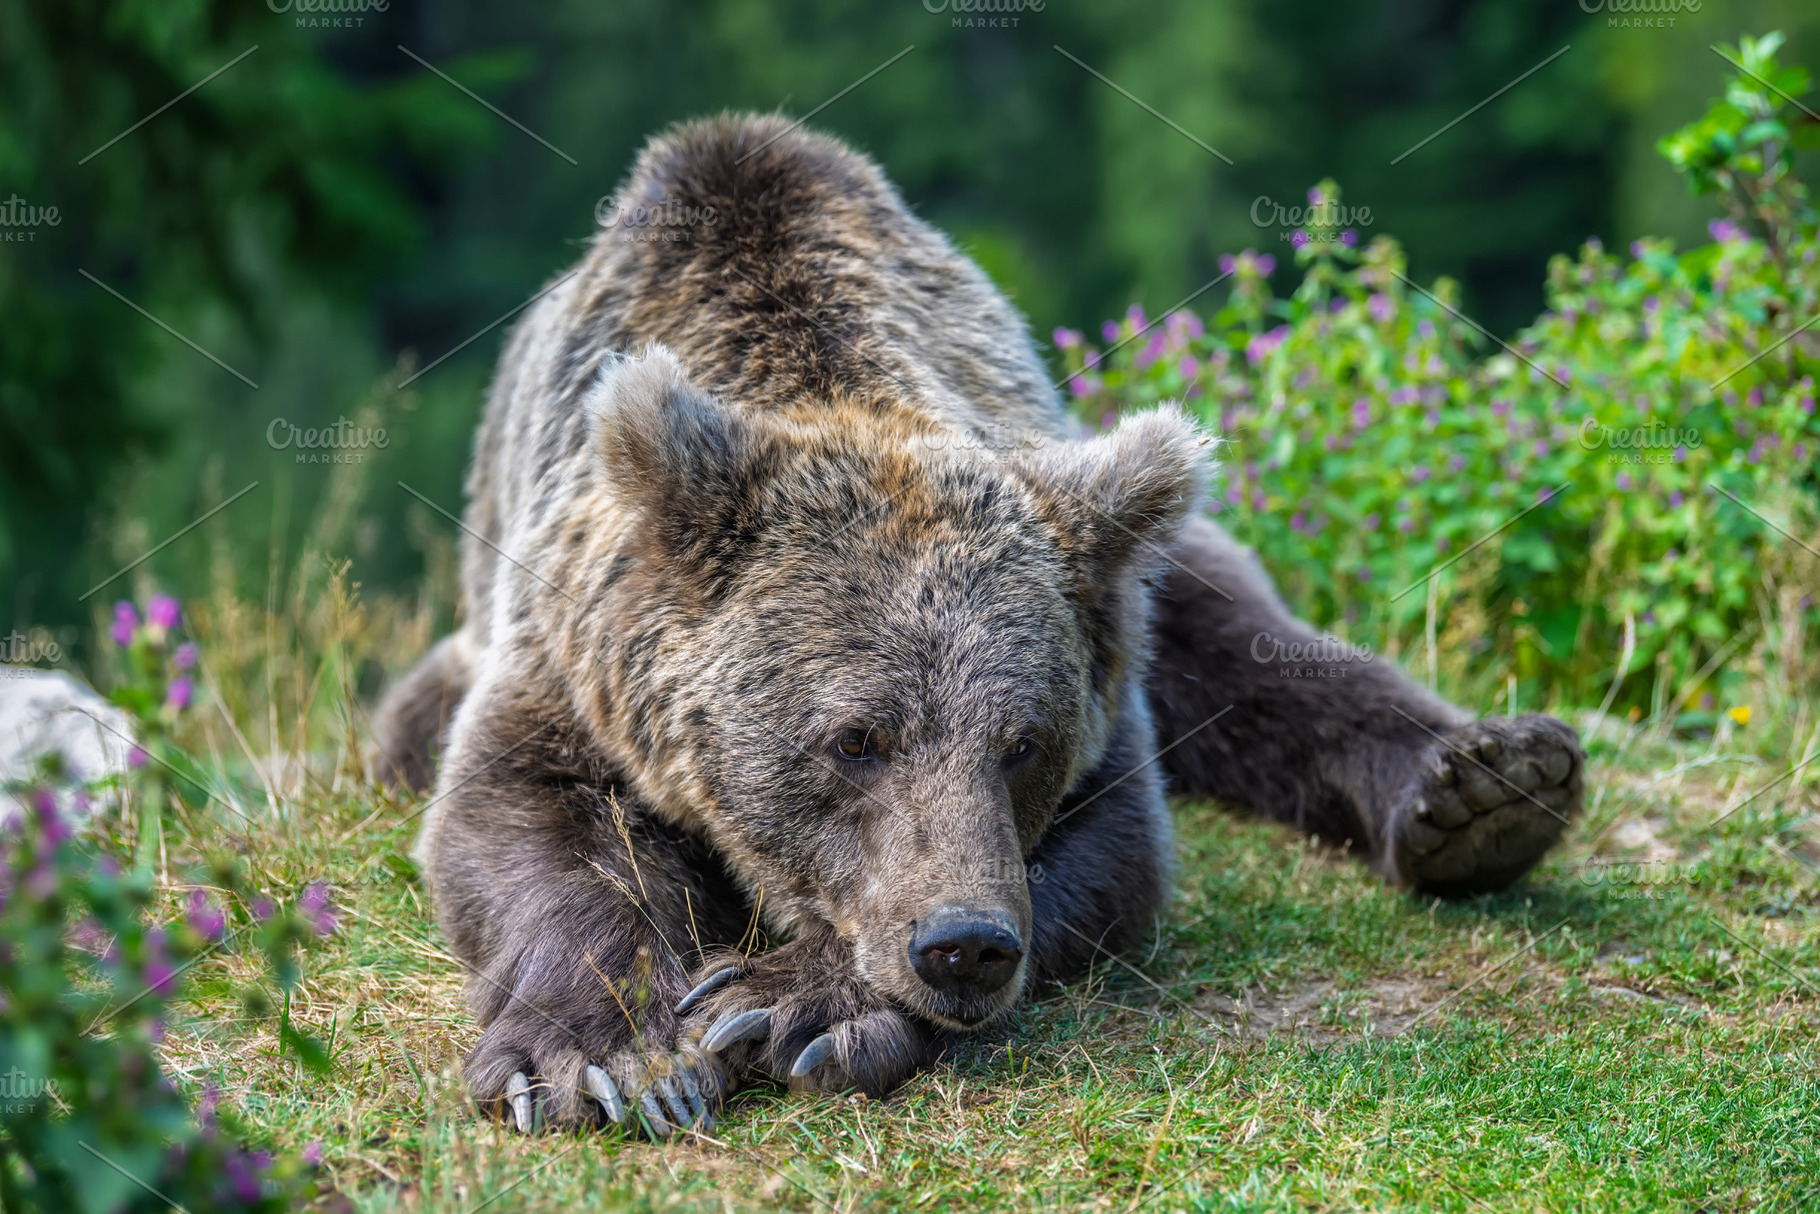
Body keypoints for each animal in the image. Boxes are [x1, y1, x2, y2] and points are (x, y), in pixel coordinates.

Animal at [376, 113, 1584, 1138]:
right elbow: (521, 820)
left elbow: (1113, 851)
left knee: (1248, 641)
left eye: (1021, 743)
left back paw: (1485, 784)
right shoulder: (576, 650)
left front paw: (792, 1002)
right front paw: (601, 1054)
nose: (962, 946)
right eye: (853, 739)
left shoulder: (1100, 690)